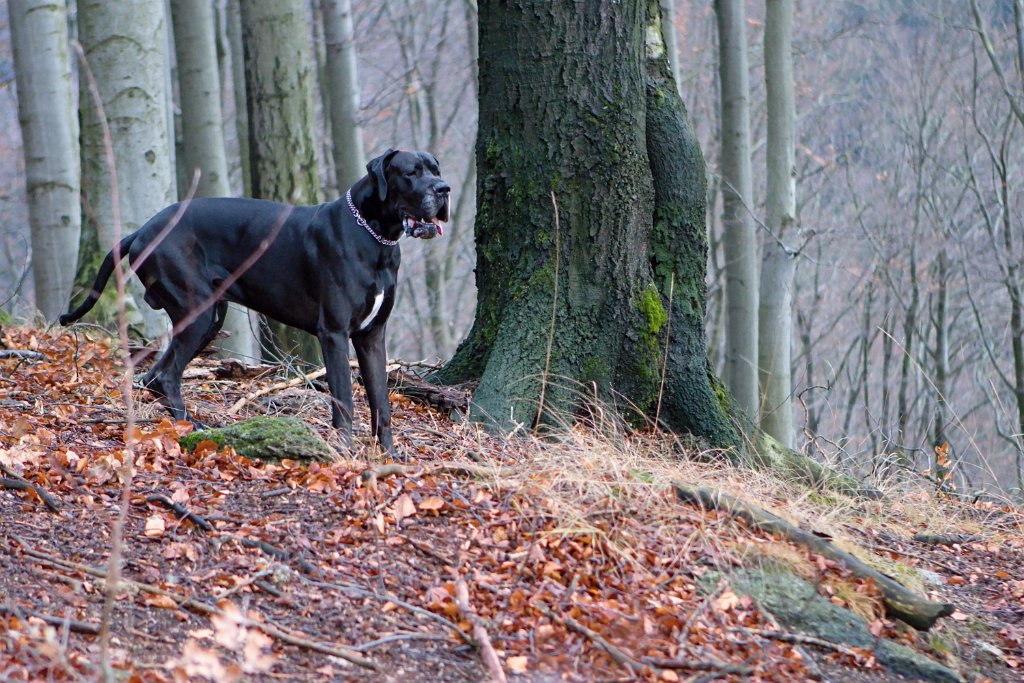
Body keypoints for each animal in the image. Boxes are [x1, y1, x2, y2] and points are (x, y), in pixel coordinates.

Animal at [59, 152, 450, 456]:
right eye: (411, 172)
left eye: (436, 169)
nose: (444, 189)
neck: (375, 237)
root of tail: (141, 230)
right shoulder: (335, 334)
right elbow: (345, 400)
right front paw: (346, 453)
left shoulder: (372, 337)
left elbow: (381, 401)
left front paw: (390, 456)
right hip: (198, 312)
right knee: (165, 376)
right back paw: (192, 429)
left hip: (210, 317)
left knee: (155, 376)